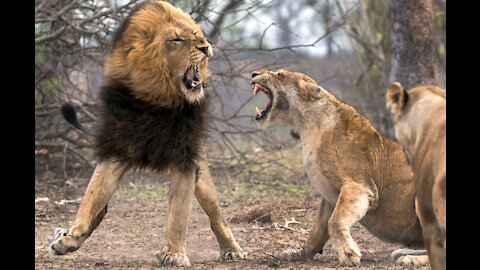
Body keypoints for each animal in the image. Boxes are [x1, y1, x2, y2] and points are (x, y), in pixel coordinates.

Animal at [49, 0, 248, 266]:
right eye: (177, 39)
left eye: (197, 34)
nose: (205, 47)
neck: (159, 100)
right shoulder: (114, 152)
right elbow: (90, 200)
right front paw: (69, 238)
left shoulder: (185, 159)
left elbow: (178, 214)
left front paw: (173, 254)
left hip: (203, 177)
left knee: (217, 216)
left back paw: (232, 249)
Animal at [249, 69, 426, 266]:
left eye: (279, 74)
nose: (254, 74)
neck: (307, 125)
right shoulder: (330, 196)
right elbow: (318, 230)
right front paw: (296, 254)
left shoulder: (359, 186)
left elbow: (335, 221)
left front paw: (348, 253)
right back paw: (402, 252)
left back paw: (410, 258)